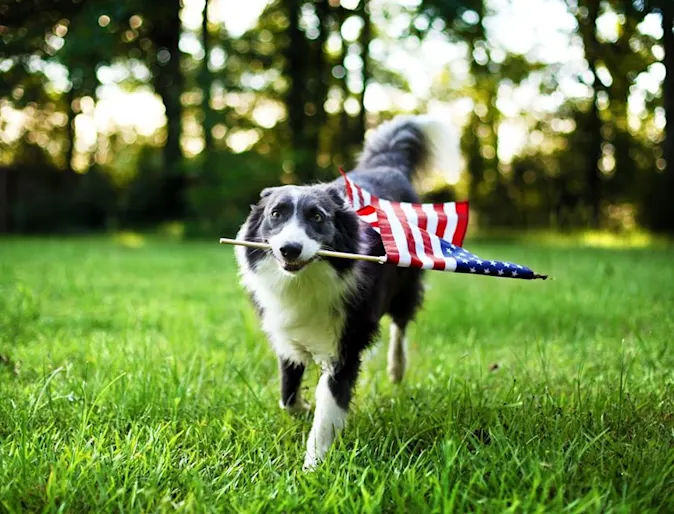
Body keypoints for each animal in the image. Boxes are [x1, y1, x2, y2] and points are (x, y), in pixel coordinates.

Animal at [234, 114, 460, 466]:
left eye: (317, 216)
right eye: (276, 214)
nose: (289, 249)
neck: (306, 279)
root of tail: (387, 165)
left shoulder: (346, 343)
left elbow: (329, 408)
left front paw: (313, 467)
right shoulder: (286, 330)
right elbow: (287, 394)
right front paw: (302, 408)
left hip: (406, 283)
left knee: (400, 325)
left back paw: (397, 369)